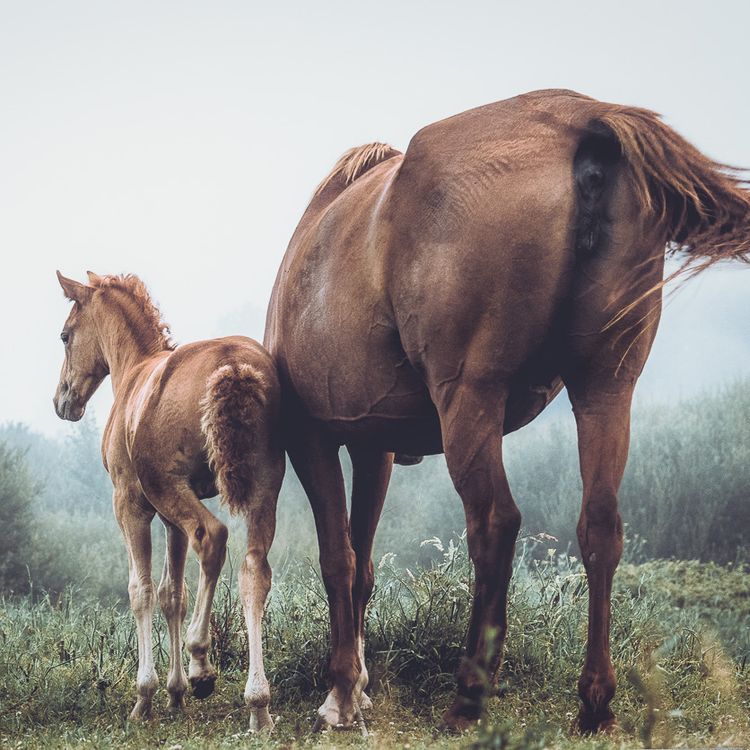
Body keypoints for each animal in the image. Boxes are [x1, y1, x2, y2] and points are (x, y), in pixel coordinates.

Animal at [52, 274, 282, 732]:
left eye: (65, 336)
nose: (62, 402)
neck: (134, 371)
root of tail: (233, 367)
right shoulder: (169, 518)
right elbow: (171, 593)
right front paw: (175, 694)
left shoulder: (132, 504)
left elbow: (140, 590)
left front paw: (147, 695)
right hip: (263, 485)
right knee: (254, 571)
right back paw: (258, 703)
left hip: (172, 488)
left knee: (212, 537)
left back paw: (201, 664)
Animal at [266, 89, 750, 736]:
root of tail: (583, 119)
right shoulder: (375, 446)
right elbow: (361, 563)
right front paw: (357, 688)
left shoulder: (312, 439)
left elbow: (337, 560)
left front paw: (342, 693)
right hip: (605, 390)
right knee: (601, 526)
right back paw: (595, 702)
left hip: (471, 400)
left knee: (494, 524)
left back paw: (469, 696)